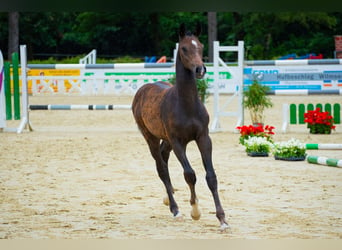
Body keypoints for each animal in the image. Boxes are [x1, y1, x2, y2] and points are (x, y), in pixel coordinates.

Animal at [132, 23, 228, 230]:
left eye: (200, 46)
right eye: (184, 48)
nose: (200, 69)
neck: (186, 105)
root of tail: (142, 90)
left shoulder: (203, 138)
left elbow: (211, 177)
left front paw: (223, 220)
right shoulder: (178, 142)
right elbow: (190, 174)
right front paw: (195, 210)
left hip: (166, 140)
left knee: (164, 159)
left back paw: (168, 198)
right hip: (151, 137)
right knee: (161, 167)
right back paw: (175, 209)